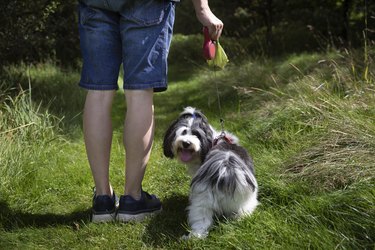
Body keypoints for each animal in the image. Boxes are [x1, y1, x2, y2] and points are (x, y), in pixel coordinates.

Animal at [163, 107, 260, 238]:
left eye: (196, 134)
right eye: (183, 132)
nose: (186, 143)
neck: (213, 141)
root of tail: (224, 171)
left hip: (203, 202)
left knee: (201, 220)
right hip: (242, 202)